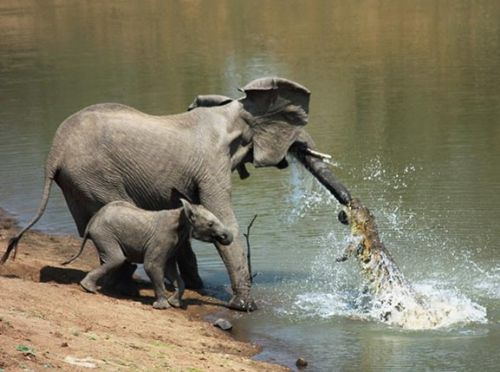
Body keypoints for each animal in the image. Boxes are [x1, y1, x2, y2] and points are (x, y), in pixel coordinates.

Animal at [62, 201, 232, 308]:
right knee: (116, 259)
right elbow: (153, 266)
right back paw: (88, 288)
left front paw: (175, 304)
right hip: (104, 234)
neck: (182, 213)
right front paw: (162, 307)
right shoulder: (162, 239)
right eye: (210, 224)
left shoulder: (173, 243)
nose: (225, 237)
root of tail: (92, 221)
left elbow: (170, 270)